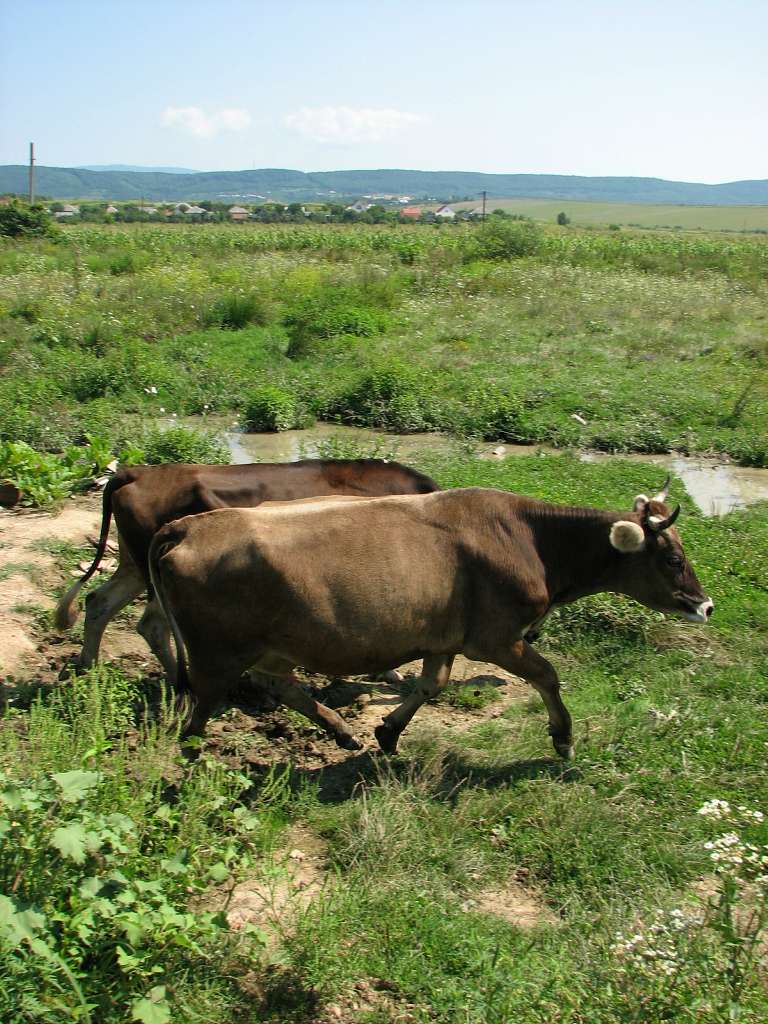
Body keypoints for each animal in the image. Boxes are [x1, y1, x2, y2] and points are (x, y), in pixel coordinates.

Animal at [54, 460, 438, 675]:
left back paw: (86, 667)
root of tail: (135, 473)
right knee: (152, 625)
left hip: (134, 564)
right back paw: (176, 684)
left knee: (99, 602)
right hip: (157, 577)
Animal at [148, 477, 716, 753]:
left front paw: (388, 733)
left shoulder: (444, 638)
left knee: (280, 686)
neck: (528, 537)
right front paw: (563, 738)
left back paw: (342, 731)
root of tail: (188, 525)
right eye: (672, 559)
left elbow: (431, 685)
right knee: (199, 715)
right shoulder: (496, 638)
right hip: (216, 654)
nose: (705, 605)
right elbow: (548, 676)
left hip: (270, 647)